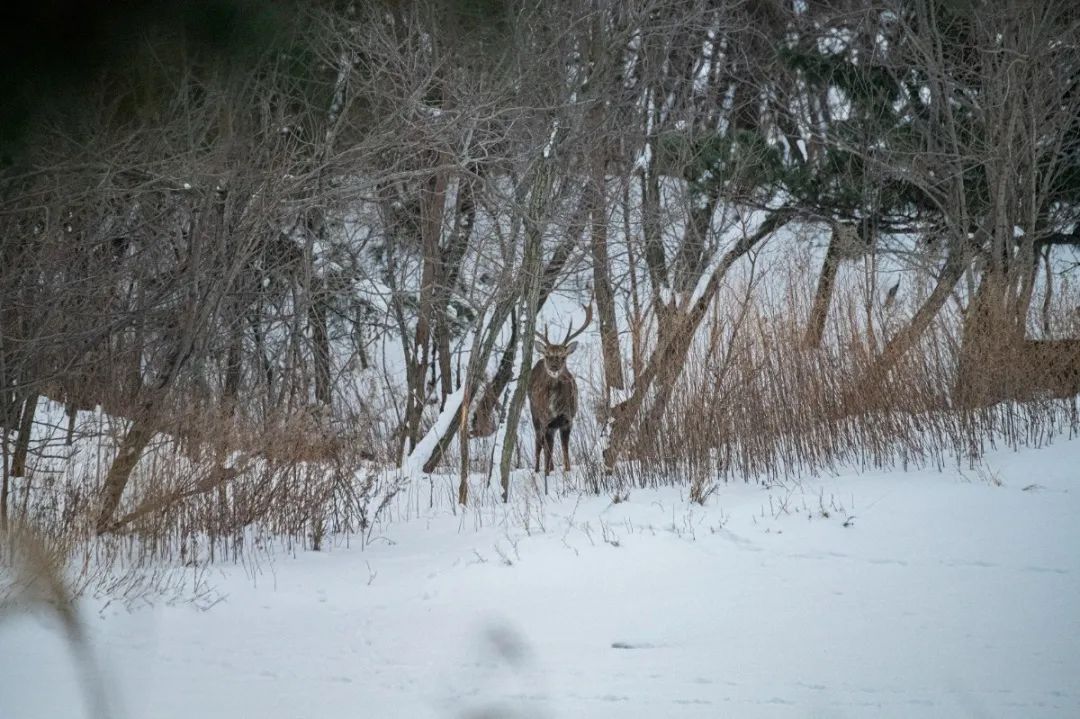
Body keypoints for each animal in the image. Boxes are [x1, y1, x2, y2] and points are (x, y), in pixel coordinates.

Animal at [529, 295, 596, 481]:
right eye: (548, 355)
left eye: (563, 356)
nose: (553, 367)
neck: (554, 406)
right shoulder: (546, 420)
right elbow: (546, 449)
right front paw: (545, 473)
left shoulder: (567, 419)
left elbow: (565, 450)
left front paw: (565, 470)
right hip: (534, 414)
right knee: (539, 443)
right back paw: (537, 470)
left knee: (548, 445)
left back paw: (550, 468)